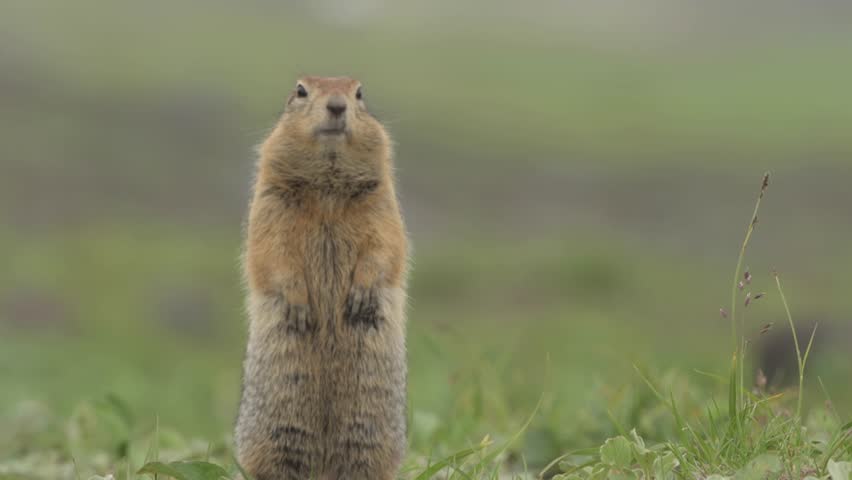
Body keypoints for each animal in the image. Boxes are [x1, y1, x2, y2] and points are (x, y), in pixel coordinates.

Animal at [235, 76, 409, 480]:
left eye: (359, 92)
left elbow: (385, 244)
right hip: (276, 425)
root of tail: (325, 469)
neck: (328, 188)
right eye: (300, 90)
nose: (336, 105)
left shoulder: (382, 202)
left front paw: (361, 294)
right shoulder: (271, 202)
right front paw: (299, 304)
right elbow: (272, 251)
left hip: (370, 430)